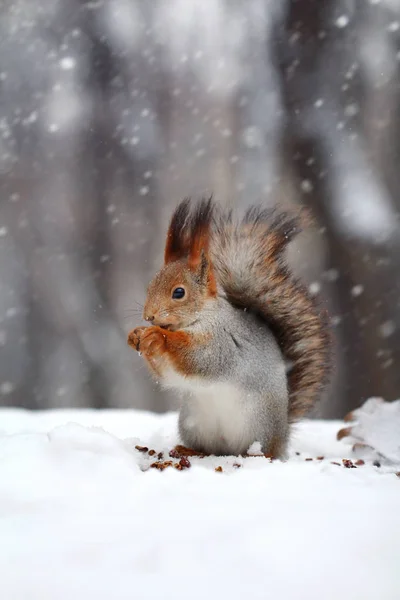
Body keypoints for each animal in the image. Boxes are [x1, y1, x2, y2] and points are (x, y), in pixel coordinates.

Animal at [128, 199, 332, 458]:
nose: (149, 316)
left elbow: (197, 358)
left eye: (179, 292)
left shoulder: (221, 341)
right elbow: (167, 373)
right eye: (150, 286)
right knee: (206, 447)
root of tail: (283, 436)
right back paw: (188, 450)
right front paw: (135, 335)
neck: (200, 317)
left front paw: (158, 336)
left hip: (259, 425)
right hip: (193, 423)